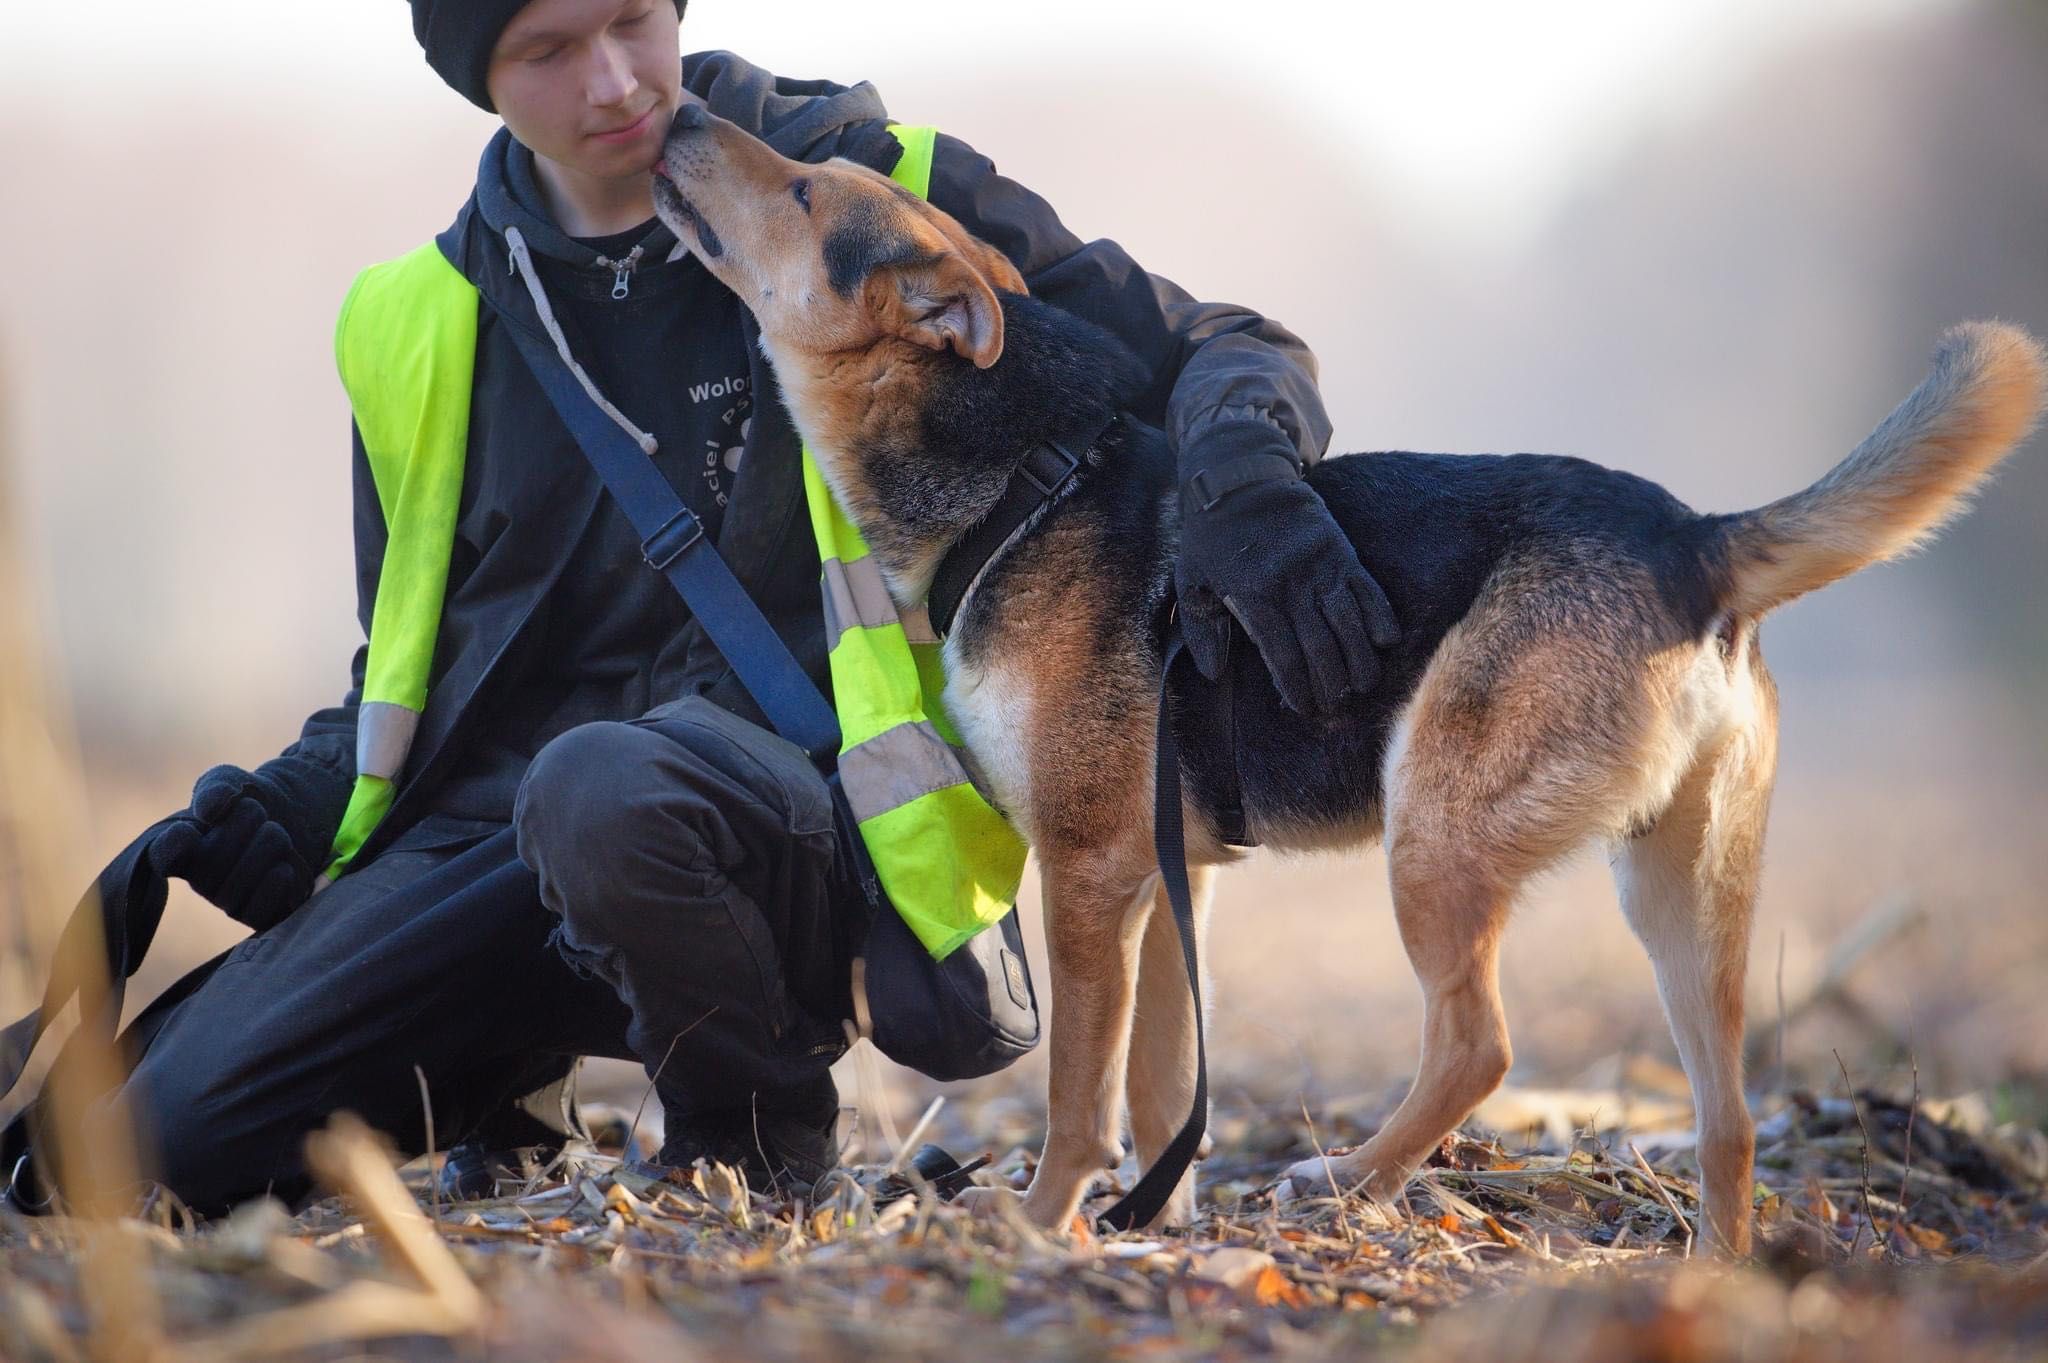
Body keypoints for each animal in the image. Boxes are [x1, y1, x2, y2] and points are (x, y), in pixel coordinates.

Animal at [647, 103, 2039, 1252]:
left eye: (805, 195)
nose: (678, 113)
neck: (1024, 478)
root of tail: (1692, 539)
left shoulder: (1089, 871)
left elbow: (1080, 1093)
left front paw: (1043, 1222)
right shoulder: (1172, 874)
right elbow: (1161, 1083)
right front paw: (1151, 1226)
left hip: (1434, 833)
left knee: (1477, 1045)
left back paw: (1348, 1180)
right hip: (1677, 897)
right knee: (1729, 1117)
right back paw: (1712, 1274)